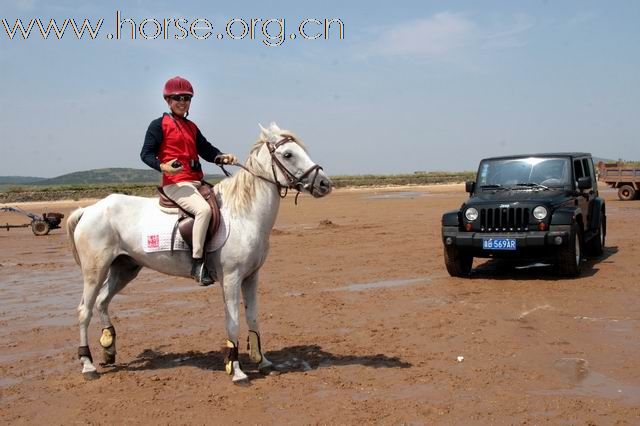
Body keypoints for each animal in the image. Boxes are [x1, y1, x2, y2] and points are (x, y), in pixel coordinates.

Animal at [67, 123, 332, 382]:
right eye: (288, 154)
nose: (325, 184)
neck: (243, 215)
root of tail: (88, 210)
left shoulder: (251, 277)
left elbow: (253, 317)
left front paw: (263, 361)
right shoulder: (231, 279)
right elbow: (233, 322)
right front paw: (236, 369)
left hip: (124, 268)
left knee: (102, 301)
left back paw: (109, 349)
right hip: (95, 271)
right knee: (84, 311)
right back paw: (88, 364)